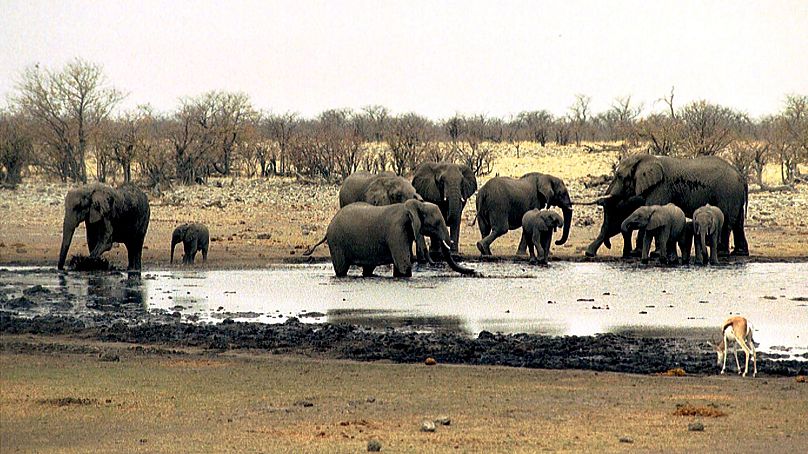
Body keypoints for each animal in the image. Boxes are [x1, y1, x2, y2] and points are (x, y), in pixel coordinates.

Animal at [584, 154, 748, 258]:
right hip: (735, 195)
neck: (645, 158)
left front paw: (639, 254)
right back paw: (739, 253)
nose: (609, 246)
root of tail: (741, 176)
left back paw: (722, 253)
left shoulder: (661, 187)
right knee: (738, 224)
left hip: (728, 192)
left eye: (619, 176)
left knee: (728, 222)